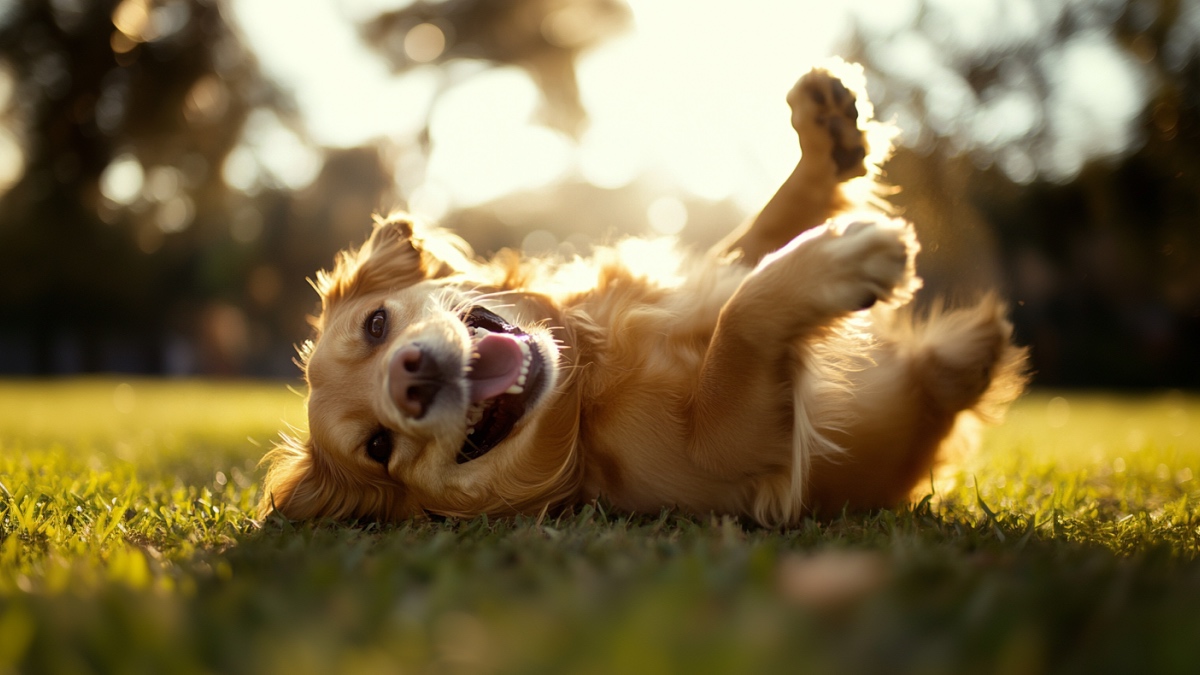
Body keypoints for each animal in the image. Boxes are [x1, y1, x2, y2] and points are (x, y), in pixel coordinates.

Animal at [258, 61, 1027, 526]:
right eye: (379, 447)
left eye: (376, 324)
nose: (410, 378)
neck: (586, 381)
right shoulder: (727, 458)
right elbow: (742, 318)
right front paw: (839, 259)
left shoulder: (702, 277)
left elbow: (756, 238)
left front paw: (825, 137)